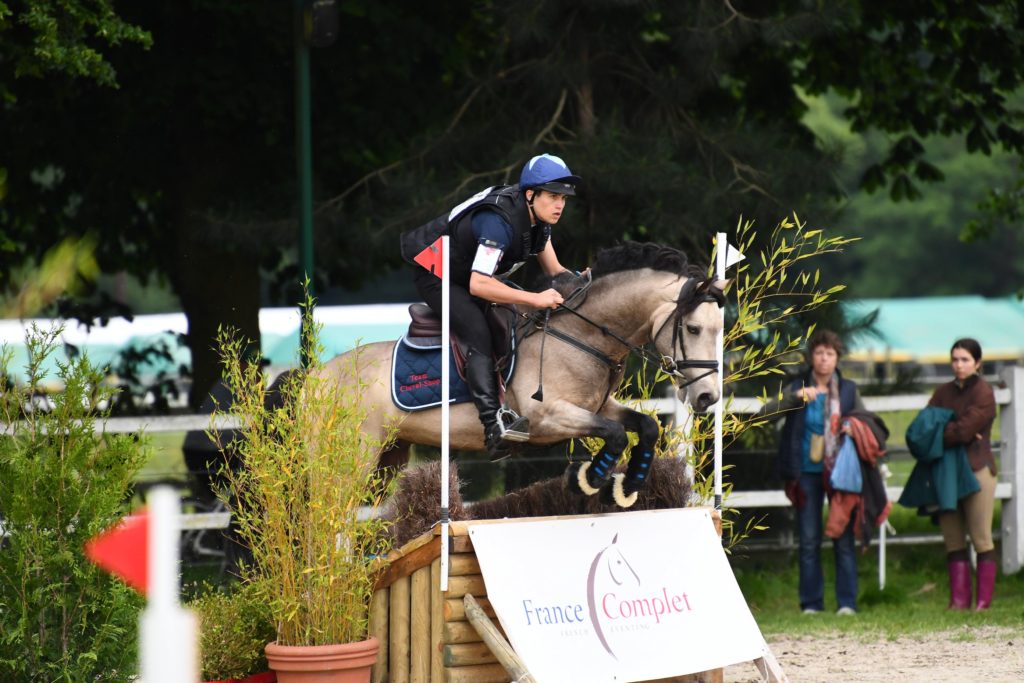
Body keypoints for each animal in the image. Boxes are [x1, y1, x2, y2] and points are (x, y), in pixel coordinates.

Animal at [309, 241, 720, 507]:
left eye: (718, 330)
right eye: (693, 329)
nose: (708, 397)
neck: (582, 334)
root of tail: (316, 378)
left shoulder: (597, 408)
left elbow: (645, 426)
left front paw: (629, 485)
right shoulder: (548, 418)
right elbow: (616, 435)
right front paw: (588, 481)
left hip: (388, 459)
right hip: (352, 459)